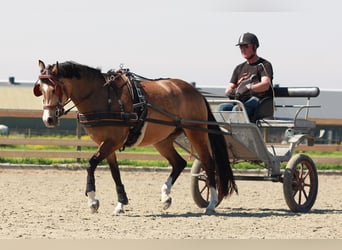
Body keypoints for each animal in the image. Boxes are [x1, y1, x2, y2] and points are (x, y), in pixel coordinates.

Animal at [34, 60, 238, 215]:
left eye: (55, 89)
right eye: (41, 90)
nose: (48, 119)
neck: (103, 97)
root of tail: (195, 92)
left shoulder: (112, 141)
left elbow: (91, 164)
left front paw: (92, 201)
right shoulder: (107, 144)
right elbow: (115, 173)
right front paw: (121, 203)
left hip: (196, 132)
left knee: (208, 163)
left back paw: (211, 203)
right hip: (162, 140)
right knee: (179, 163)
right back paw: (166, 196)